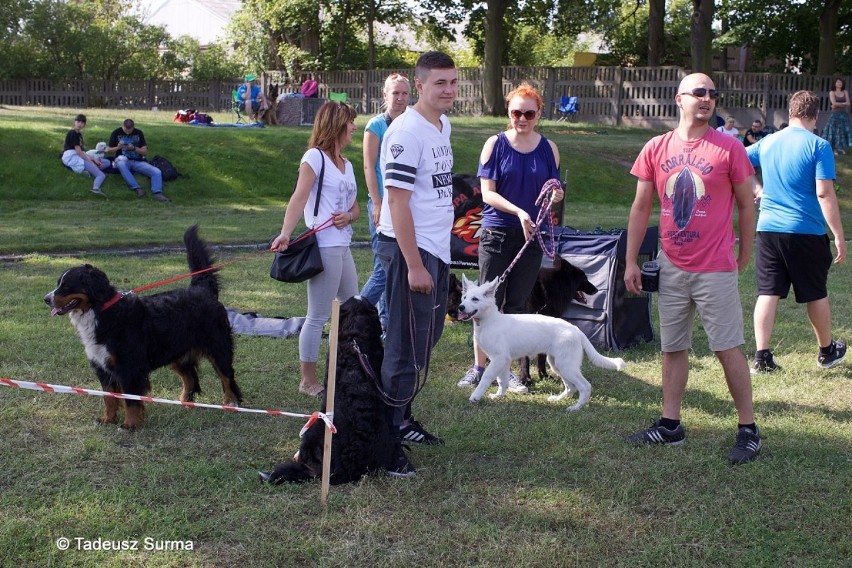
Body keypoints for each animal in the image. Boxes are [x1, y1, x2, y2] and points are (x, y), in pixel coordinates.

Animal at [43, 224, 243, 428]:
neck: (102, 311)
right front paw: (108, 419)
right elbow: (109, 398)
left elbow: (130, 400)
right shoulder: (102, 366)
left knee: (227, 376)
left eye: (67, 285)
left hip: (218, 348)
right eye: (58, 283)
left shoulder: (129, 367)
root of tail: (202, 289)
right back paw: (185, 403)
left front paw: (129, 424)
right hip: (177, 354)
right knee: (190, 378)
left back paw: (231, 404)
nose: (46, 299)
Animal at [460, 274, 624, 410]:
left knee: (585, 386)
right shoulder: (502, 361)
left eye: (475, 299)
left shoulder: (499, 359)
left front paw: (475, 396)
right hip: (557, 364)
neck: (490, 321)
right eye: (464, 297)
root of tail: (576, 330)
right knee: (571, 387)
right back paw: (558, 399)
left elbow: (486, 378)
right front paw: (498, 396)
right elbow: (502, 380)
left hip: (566, 365)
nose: (460, 307)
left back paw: (576, 408)